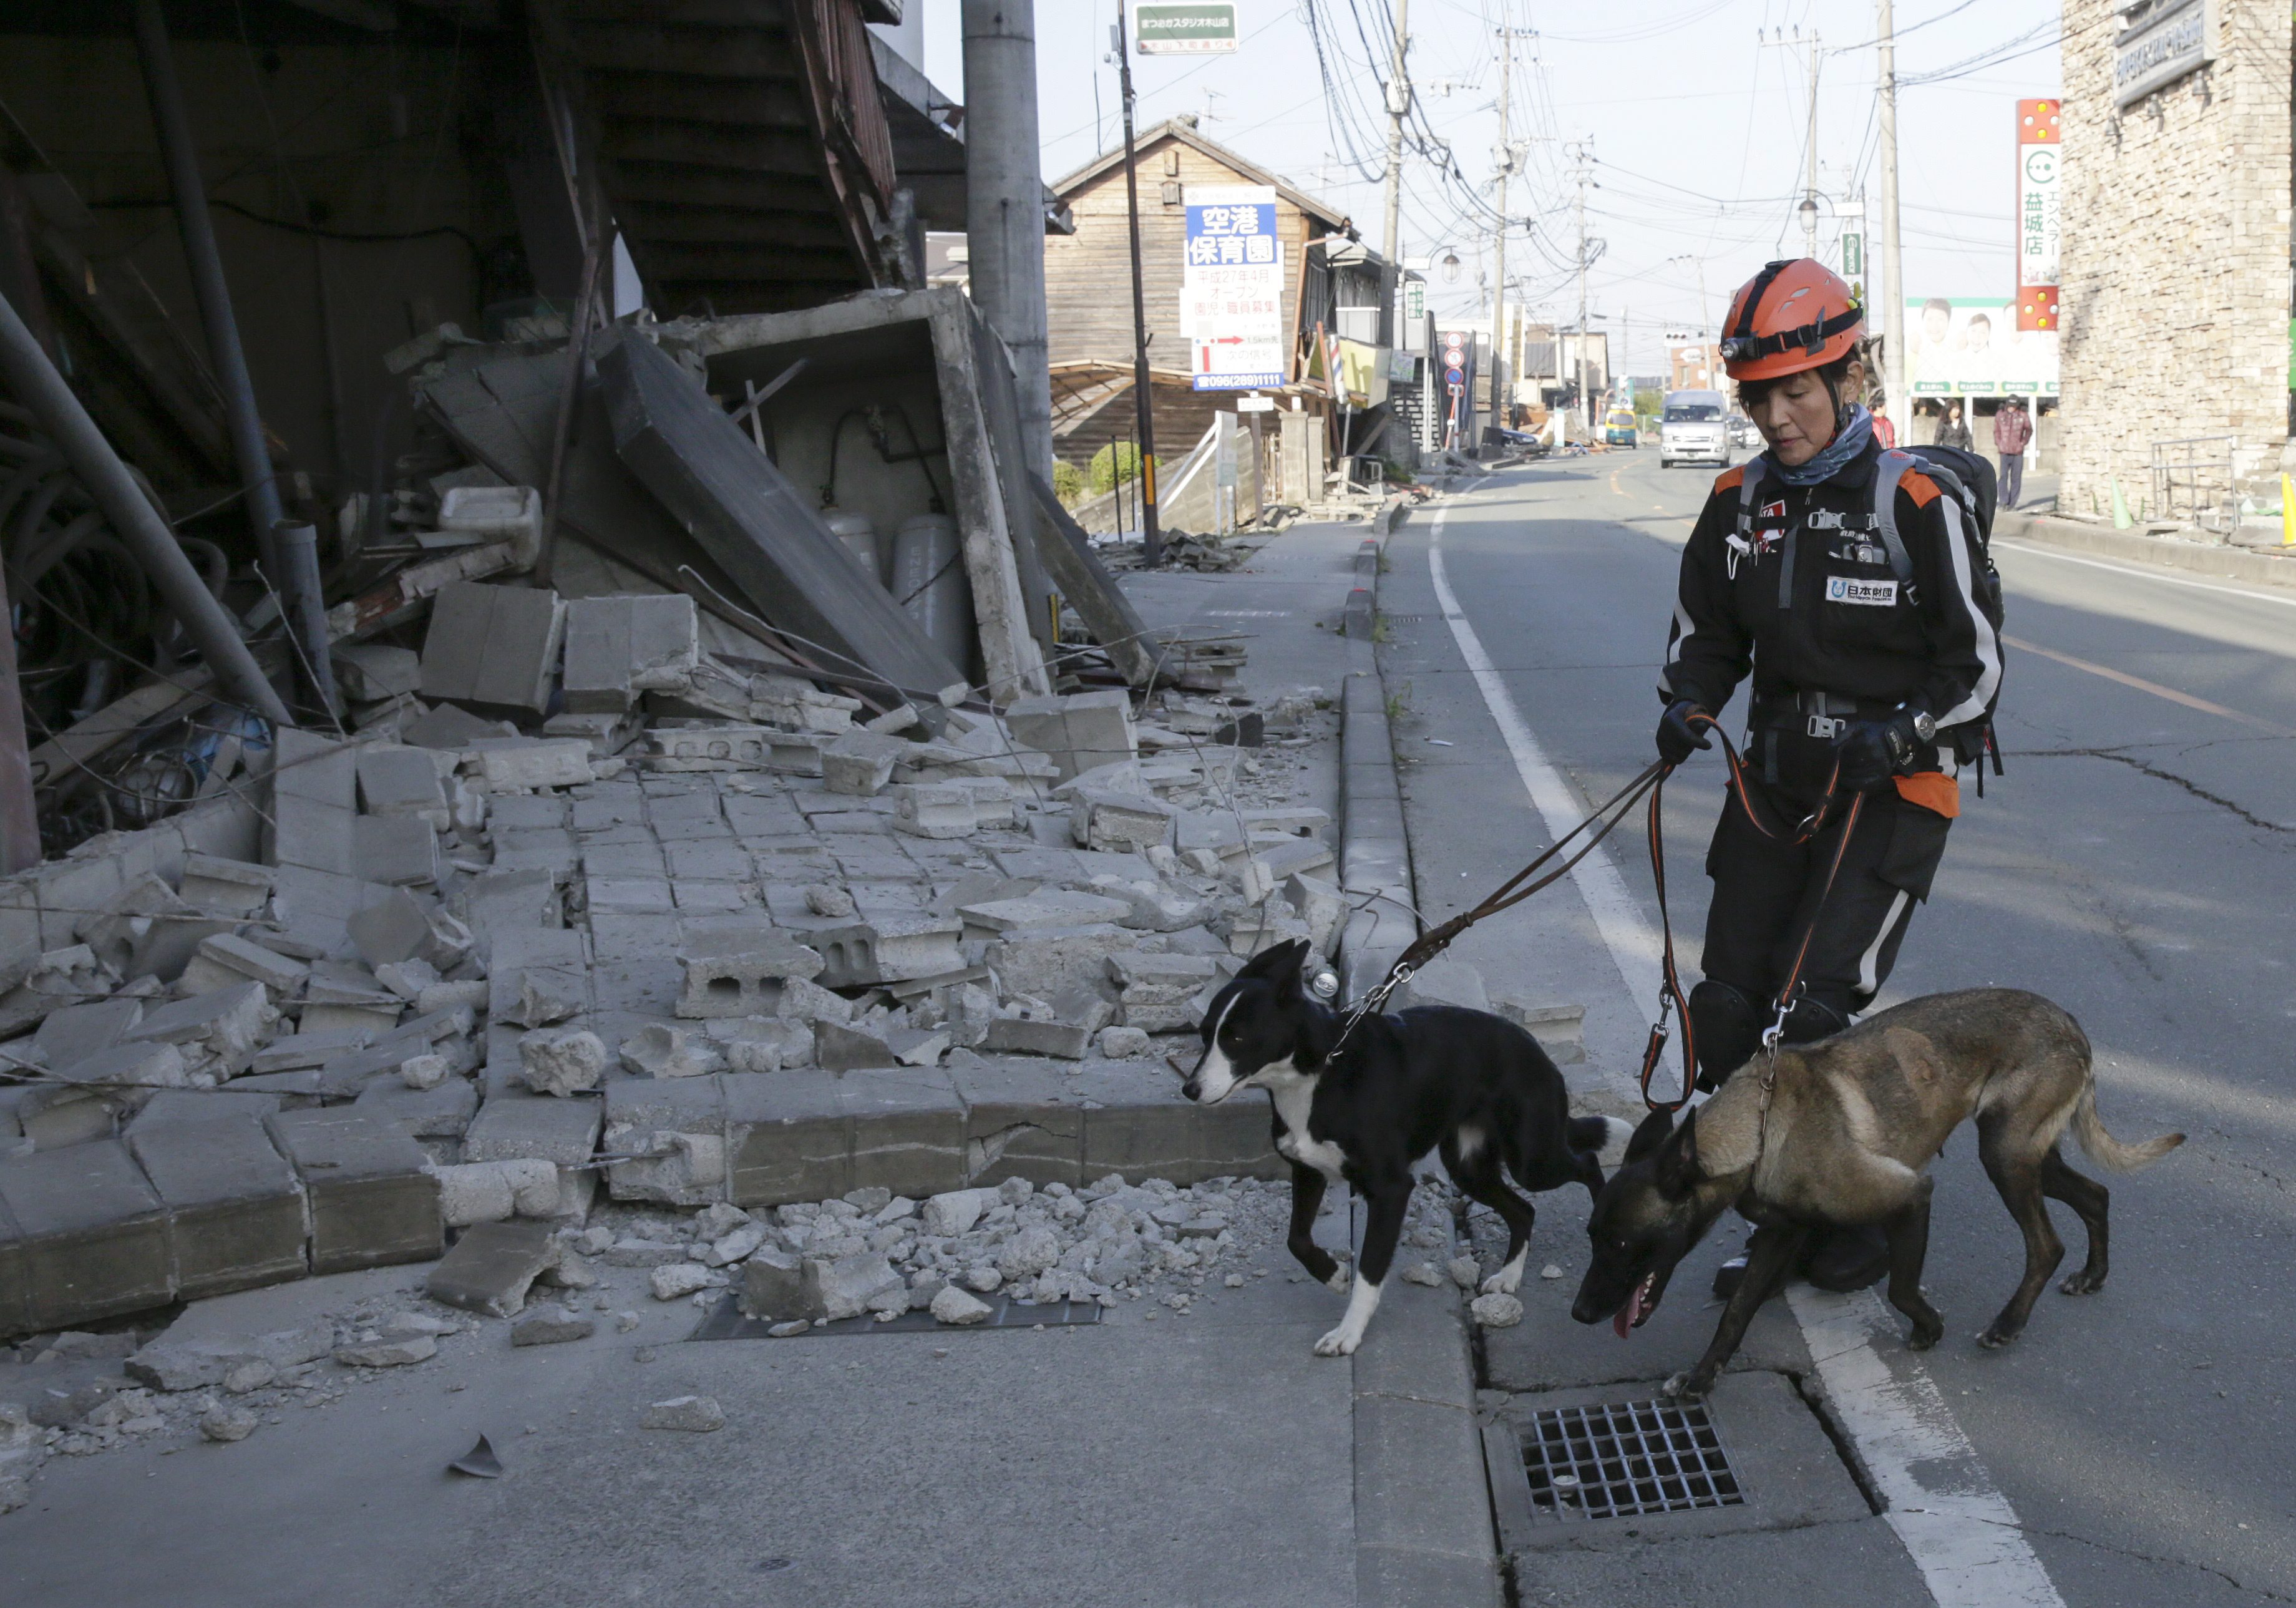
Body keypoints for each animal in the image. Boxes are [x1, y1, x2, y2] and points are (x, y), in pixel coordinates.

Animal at [1184, 942, 1635, 1360]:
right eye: (1205, 1034)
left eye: (1237, 1037)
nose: (1189, 1090)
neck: (1319, 1070)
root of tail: (1538, 1050)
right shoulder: (1307, 1170)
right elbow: (1297, 1239)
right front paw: (1334, 1274)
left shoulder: (1391, 1190)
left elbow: (1370, 1272)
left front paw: (1348, 1333)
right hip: (1469, 1168)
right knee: (1523, 1210)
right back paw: (1508, 1276)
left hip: (1533, 1158)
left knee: (1586, 1163)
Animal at [1570, 978, 2176, 1396]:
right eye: (1591, 1237)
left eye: (1622, 1244)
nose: (1578, 1313)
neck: (1761, 1127)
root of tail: (2069, 1022)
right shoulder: (1781, 1235)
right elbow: (1736, 1314)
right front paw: (1701, 1378)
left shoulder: (1912, 1194)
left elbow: (1902, 1287)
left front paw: (1928, 1328)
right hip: (2026, 1155)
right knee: (2096, 1194)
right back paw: (2093, 1274)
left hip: (2006, 1158)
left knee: (2046, 1245)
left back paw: (2009, 1323)